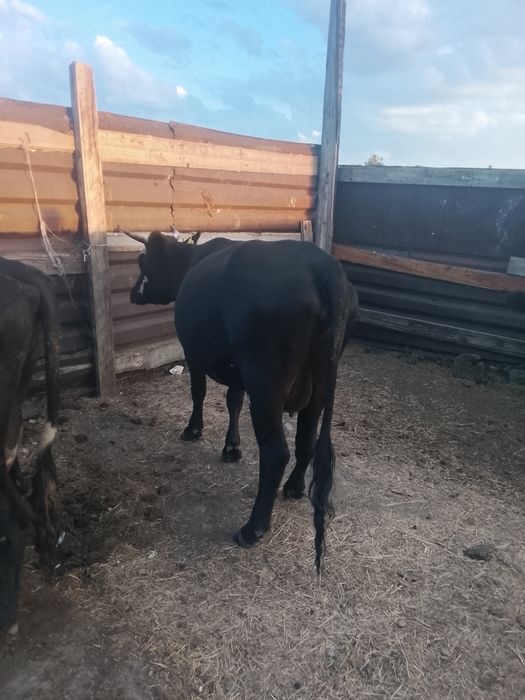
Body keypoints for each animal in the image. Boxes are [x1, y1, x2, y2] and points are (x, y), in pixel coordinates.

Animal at [124, 230, 358, 570]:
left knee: (276, 453)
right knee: (306, 440)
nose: (133, 294)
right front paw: (232, 447)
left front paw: (193, 430)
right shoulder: (236, 370)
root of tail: (325, 266)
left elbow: (199, 391)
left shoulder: (193, 352)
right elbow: (233, 400)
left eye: (144, 262)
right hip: (319, 385)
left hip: (266, 385)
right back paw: (294, 487)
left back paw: (253, 528)